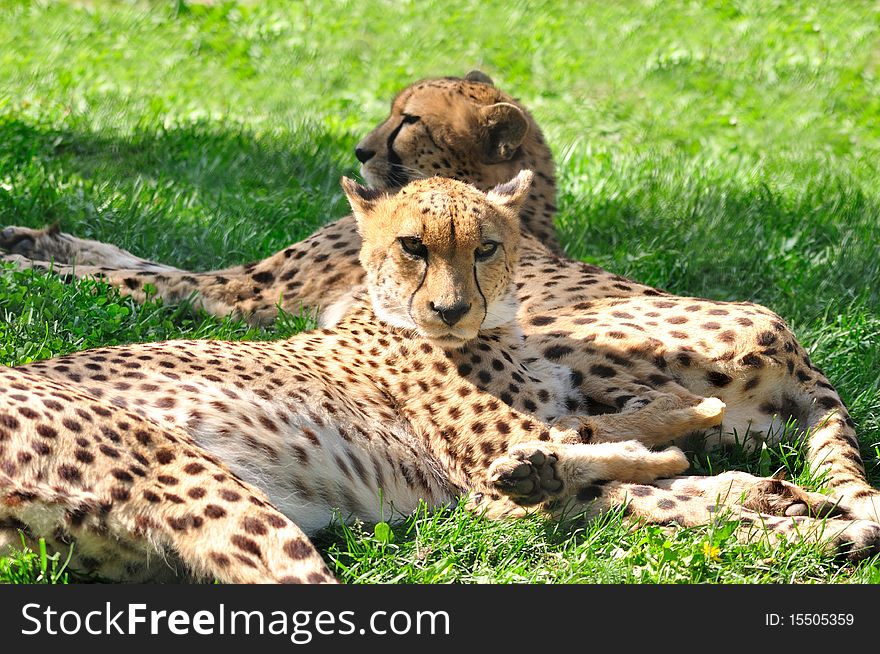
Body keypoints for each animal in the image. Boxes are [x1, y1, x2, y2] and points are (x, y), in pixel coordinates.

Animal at [3, 72, 876, 524]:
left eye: (408, 120)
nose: (359, 150)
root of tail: (797, 352)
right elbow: (123, 251)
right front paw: (34, 232)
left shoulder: (240, 295)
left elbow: (134, 275)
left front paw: (25, 261)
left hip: (572, 351)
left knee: (595, 442)